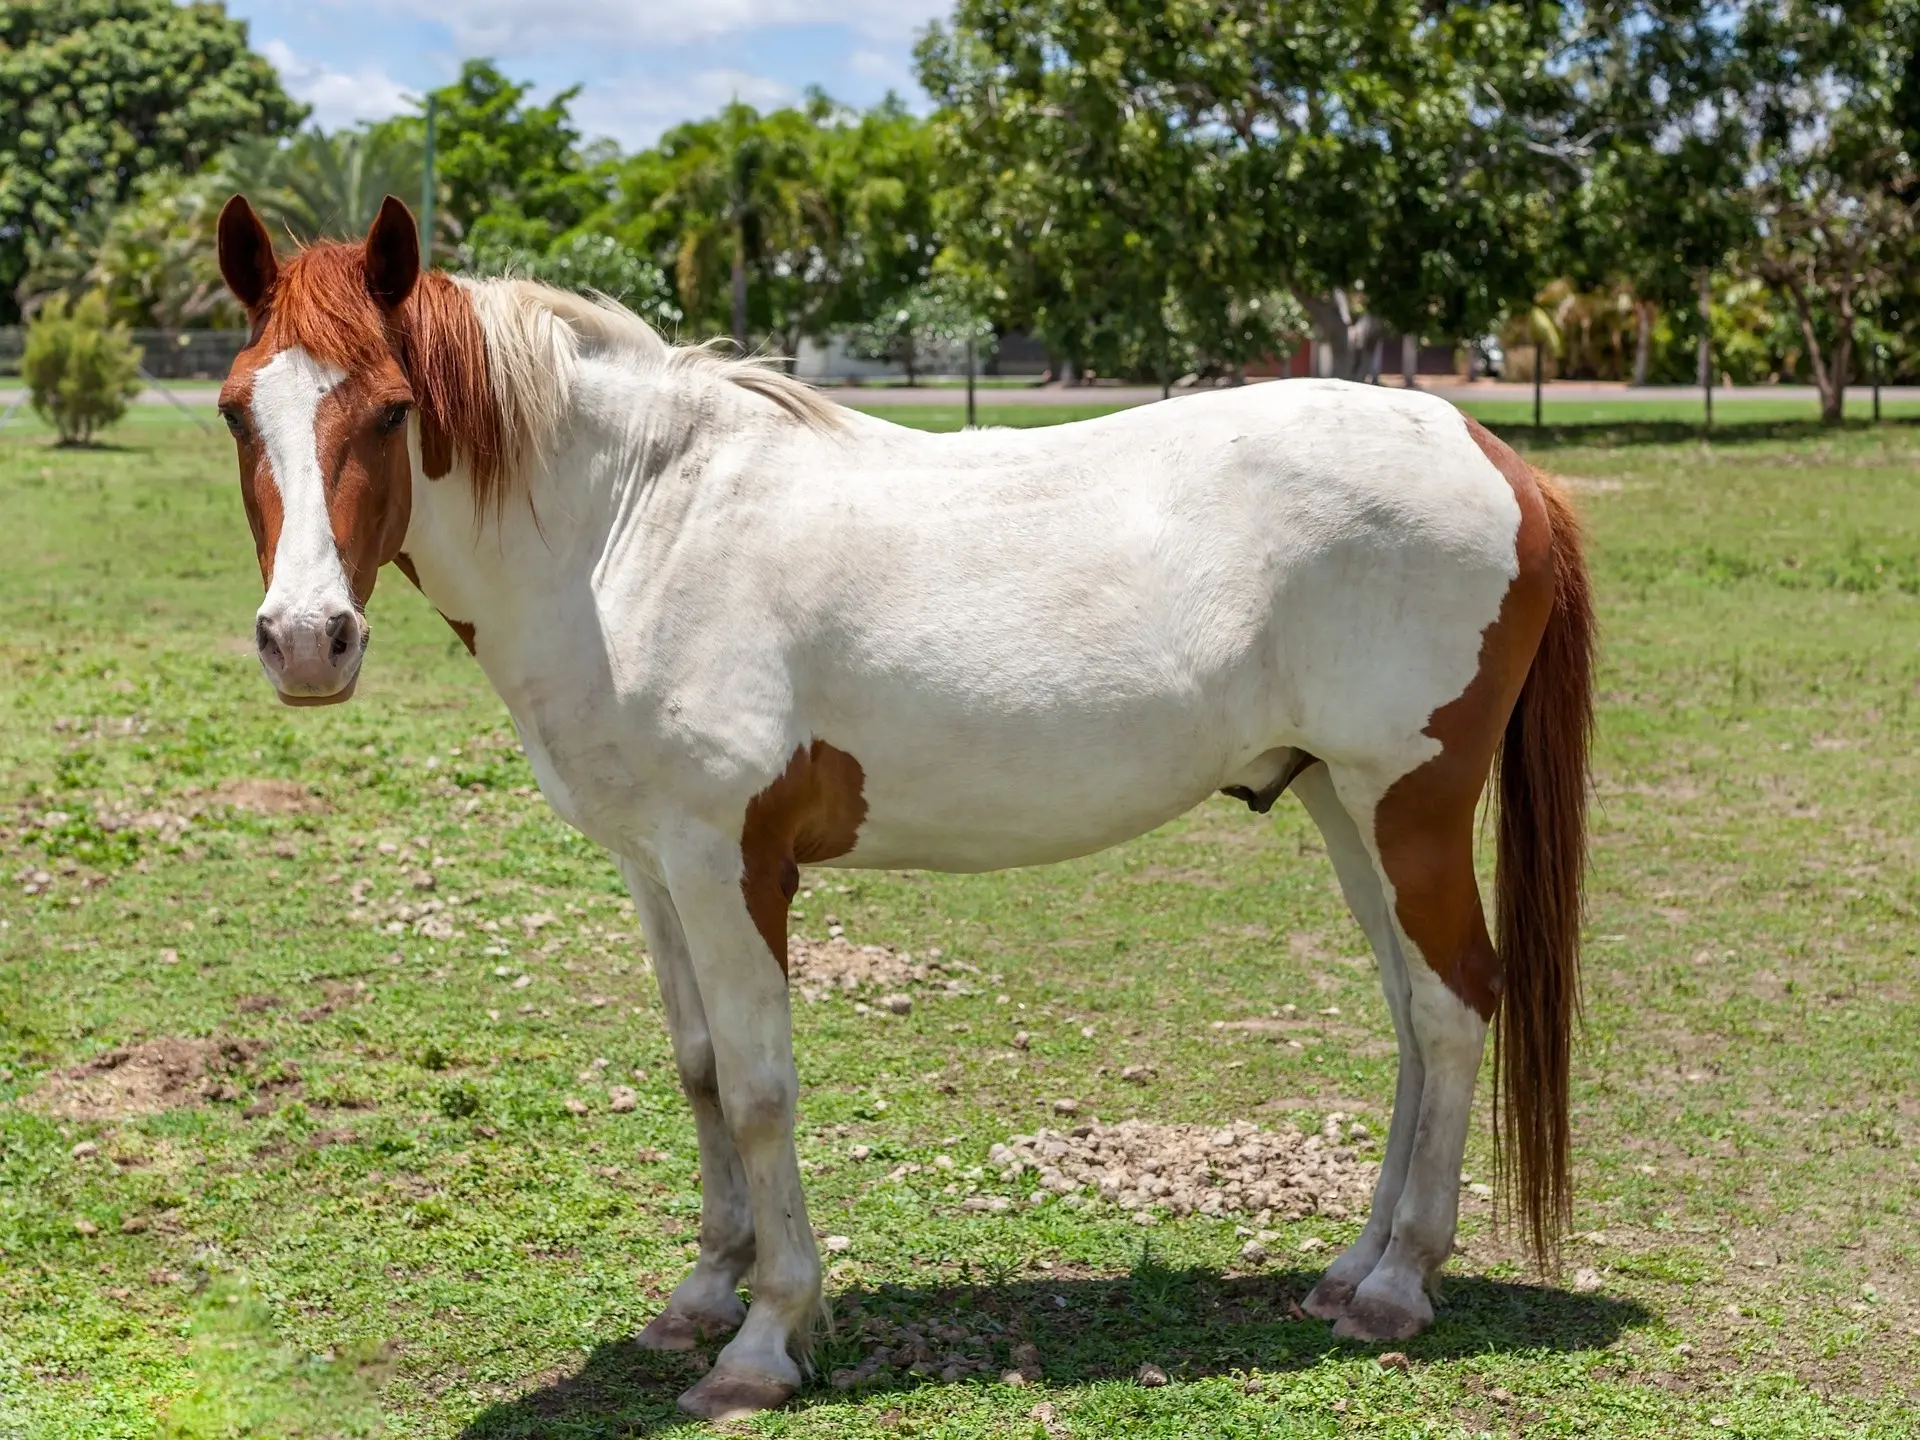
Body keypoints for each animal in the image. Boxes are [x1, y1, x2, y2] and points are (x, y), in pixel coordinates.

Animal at [210, 194, 1597, 1420]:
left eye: (392, 410)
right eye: (236, 411)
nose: (307, 641)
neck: (636, 529)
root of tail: (1497, 457)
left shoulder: (733, 868)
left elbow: (760, 1089)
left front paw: (765, 1342)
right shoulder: (654, 868)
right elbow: (699, 1071)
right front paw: (701, 1295)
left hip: (1409, 804)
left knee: (1453, 1005)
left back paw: (1400, 1288)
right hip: (1341, 806)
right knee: (1413, 1016)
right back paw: (1352, 1271)